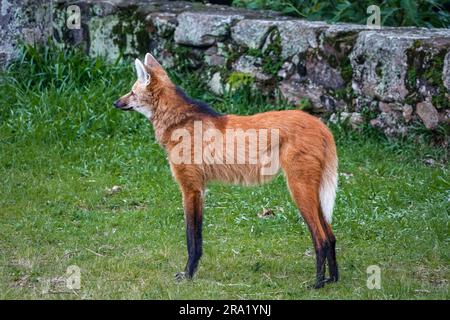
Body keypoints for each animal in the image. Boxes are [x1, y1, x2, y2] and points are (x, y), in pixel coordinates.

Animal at [114, 53, 340, 288]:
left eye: (132, 92)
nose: (115, 102)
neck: (177, 122)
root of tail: (322, 126)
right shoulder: (200, 189)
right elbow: (197, 238)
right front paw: (191, 273)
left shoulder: (191, 189)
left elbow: (192, 239)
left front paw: (187, 275)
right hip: (313, 191)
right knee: (331, 236)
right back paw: (333, 279)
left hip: (299, 189)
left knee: (321, 238)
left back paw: (317, 283)